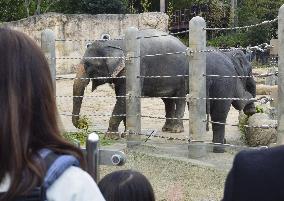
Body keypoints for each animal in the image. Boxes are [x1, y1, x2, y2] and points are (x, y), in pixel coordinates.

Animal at [72, 28, 256, 149]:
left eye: (88, 65)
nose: (83, 123)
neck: (115, 42)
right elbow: (123, 99)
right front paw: (124, 134)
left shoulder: (135, 69)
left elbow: (124, 99)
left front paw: (110, 136)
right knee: (168, 100)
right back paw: (167, 129)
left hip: (183, 77)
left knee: (180, 98)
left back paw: (175, 130)